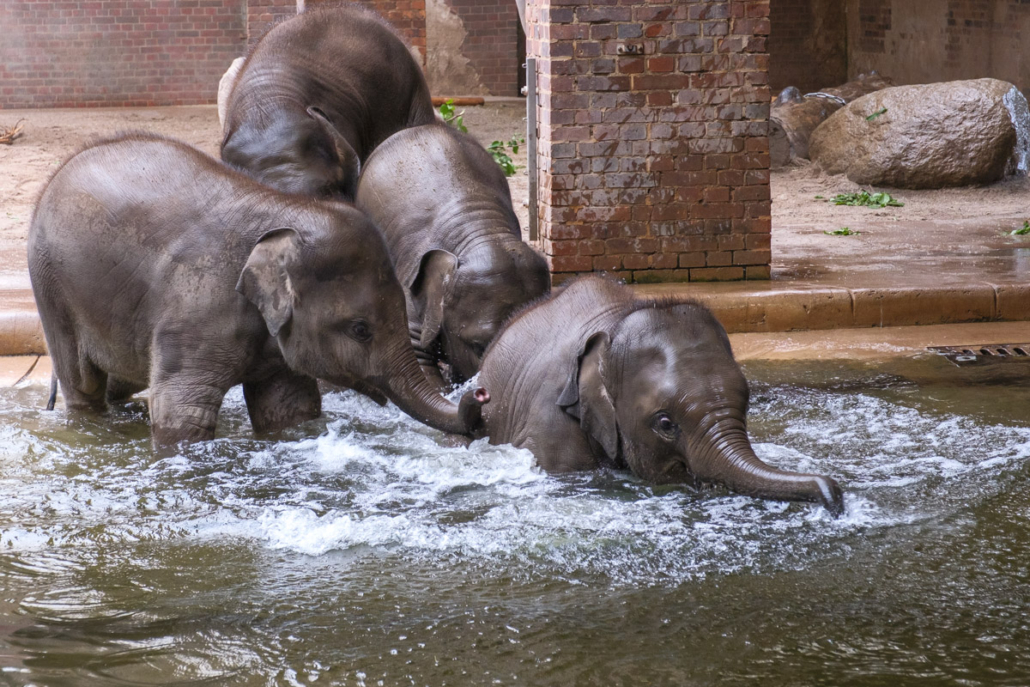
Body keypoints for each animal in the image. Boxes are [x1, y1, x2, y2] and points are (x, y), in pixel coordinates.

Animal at [28, 133, 486, 447]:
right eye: (360, 329)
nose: (479, 393)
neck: (284, 212)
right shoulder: (193, 315)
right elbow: (181, 415)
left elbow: (289, 409)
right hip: (50, 283)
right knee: (83, 384)